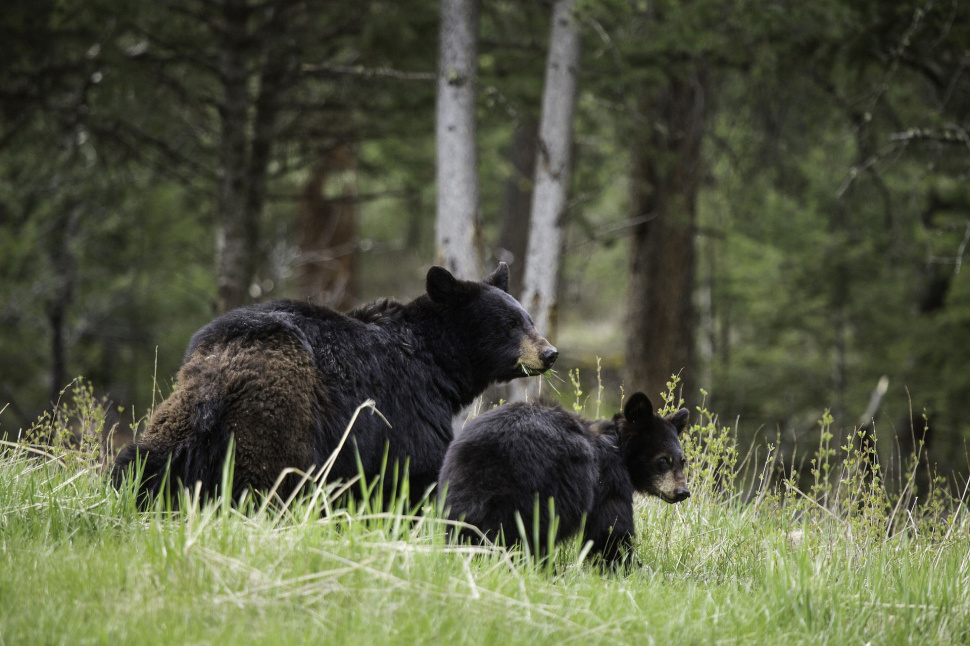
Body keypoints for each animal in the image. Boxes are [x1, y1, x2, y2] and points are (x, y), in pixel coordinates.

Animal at [111, 262, 558, 506]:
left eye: (528, 319)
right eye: (509, 325)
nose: (550, 353)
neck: (435, 363)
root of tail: (221, 373)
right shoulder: (406, 407)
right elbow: (416, 471)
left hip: (180, 418)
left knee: (143, 461)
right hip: (277, 419)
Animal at [437, 392, 689, 566]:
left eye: (682, 460)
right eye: (663, 460)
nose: (682, 492)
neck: (617, 446)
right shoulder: (607, 480)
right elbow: (610, 529)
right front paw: (626, 567)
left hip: (459, 487)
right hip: (536, 491)